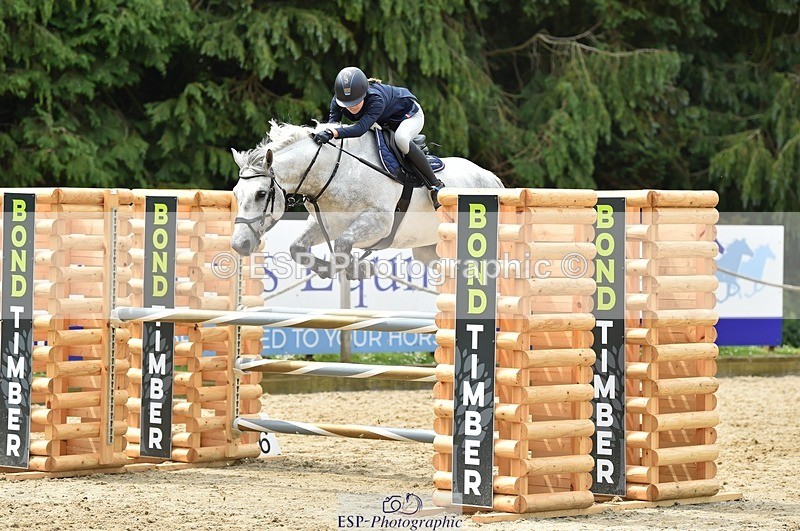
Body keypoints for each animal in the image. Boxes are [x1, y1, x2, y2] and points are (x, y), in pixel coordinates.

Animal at [230, 121, 504, 279]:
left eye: (261, 194)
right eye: (236, 193)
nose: (239, 245)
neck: (334, 170)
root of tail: (492, 178)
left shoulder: (378, 222)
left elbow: (342, 246)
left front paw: (359, 269)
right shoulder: (325, 223)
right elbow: (298, 248)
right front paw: (341, 269)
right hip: (428, 251)